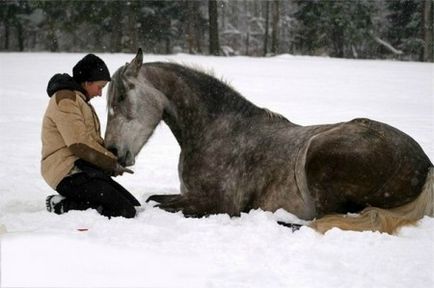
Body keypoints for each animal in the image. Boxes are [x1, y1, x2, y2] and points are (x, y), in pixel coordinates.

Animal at [106, 49, 434, 234]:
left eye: (121, 97)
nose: (112, 151)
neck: (218, 130)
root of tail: (426, 165)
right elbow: (153, 199)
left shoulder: (218, 204)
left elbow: (156, 206)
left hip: (320, 159)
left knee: (322, 220)